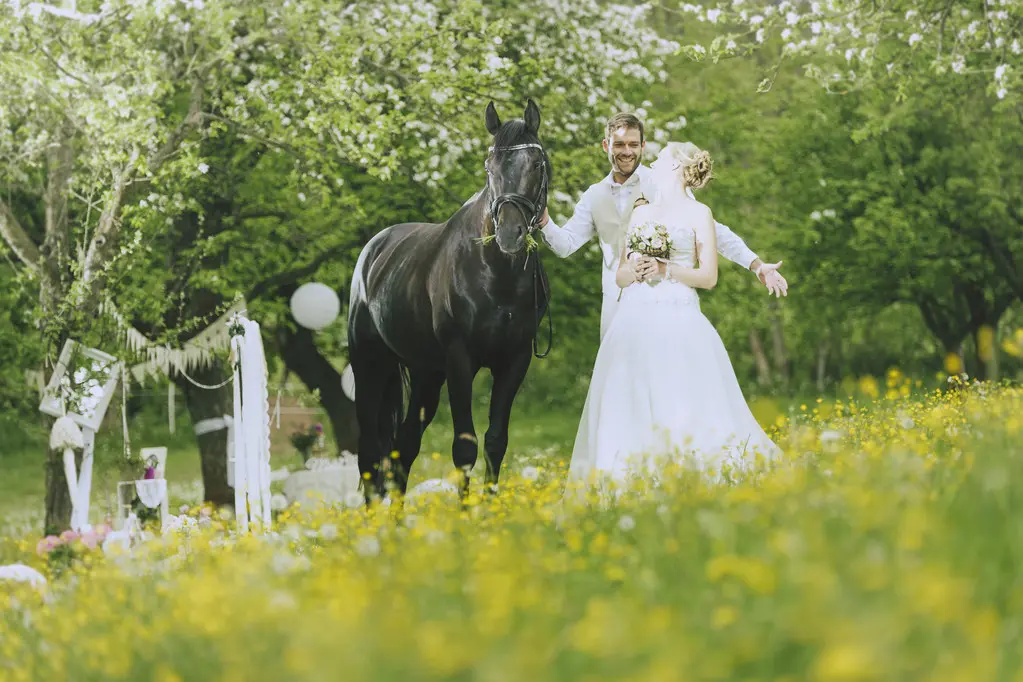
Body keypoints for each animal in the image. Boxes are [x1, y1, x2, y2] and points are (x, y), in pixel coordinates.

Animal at [343, 97, 552, 501]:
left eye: (536, 164)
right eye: (489, 166)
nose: (510, 233)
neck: (495, 275)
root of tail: (374, 250)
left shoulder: (514, 361)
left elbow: (495, 442)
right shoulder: (460, 360)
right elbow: (464, 448)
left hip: (426, 374)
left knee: (403, 449)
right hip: (370, 366)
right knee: (370, 454)